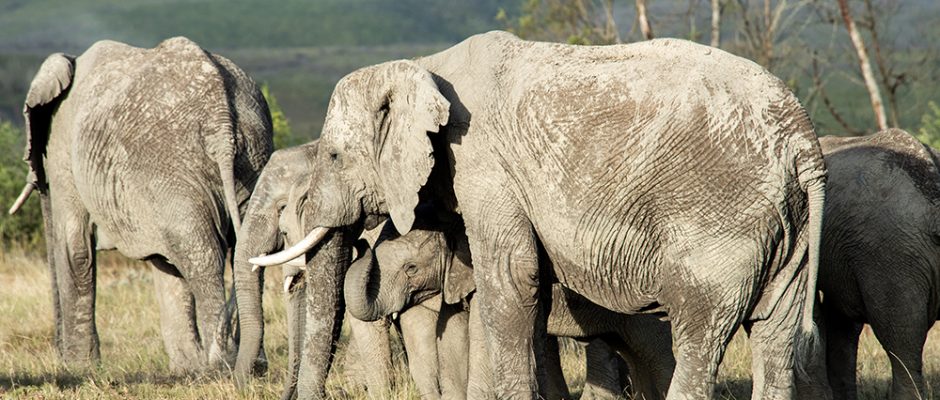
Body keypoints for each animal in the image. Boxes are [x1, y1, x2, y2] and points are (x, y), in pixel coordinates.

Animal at [9, 37, 273, 372]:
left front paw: (80, 369)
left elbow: (76, 248)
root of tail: (221, 123)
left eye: (38, 144)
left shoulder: (64, 144)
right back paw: (249, 364)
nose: (58, 355)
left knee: (201, 253)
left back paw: (221, 364)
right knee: (243, 247)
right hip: (250, 156)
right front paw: (186, 370)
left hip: (173, 165)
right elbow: (165, 264)